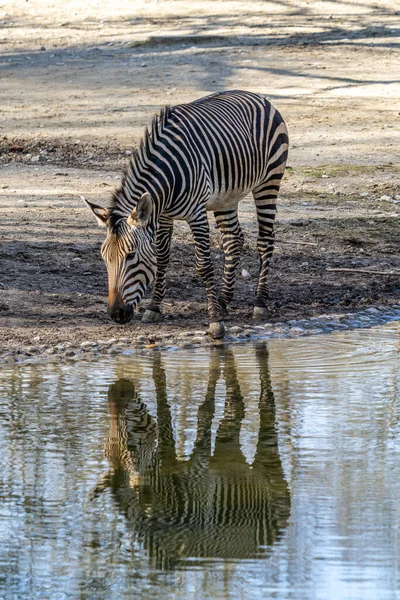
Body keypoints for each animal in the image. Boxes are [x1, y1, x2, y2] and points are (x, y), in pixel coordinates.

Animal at [84, 89, 288, 338]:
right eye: (104, 258)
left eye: (131, 256)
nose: (116, 314)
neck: (167, 178)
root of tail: (256, 96)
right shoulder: (162, 216)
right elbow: (161, 258)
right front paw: (154, 308)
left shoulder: (196, 213)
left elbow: (204, 265)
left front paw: (215, 322)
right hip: (226, 197)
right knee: (233, 240)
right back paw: (223, 301)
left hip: (269, 181)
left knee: (265, 240)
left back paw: (259, 303)